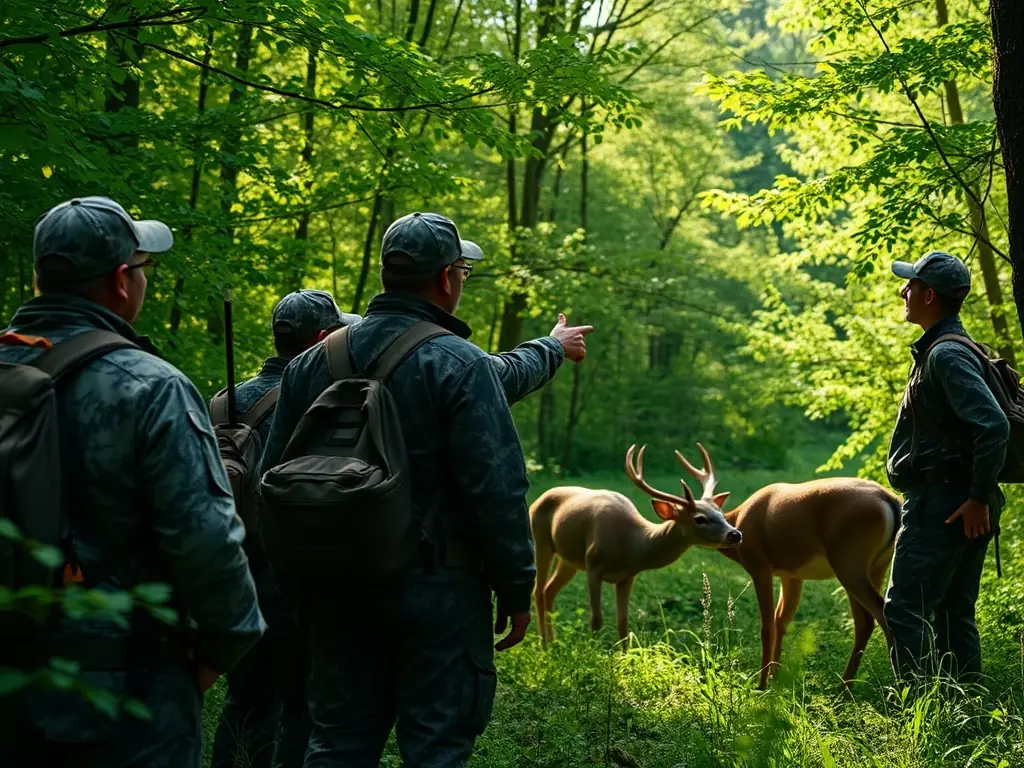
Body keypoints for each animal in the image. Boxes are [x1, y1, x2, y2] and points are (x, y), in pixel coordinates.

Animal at [529, 444, 743, 649]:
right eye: (699, 519)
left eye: (722, 514)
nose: (735, 534)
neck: (631, 546)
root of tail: (538, 499)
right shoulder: (593, 564)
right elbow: (596, 619)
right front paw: (592, 654)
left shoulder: (628, 576)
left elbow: (623, 623)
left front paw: (624, 657)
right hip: (540, 540)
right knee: (538, 592)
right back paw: (543, 645)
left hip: (568, 559)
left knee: (549, 591)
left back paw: (553, 643)